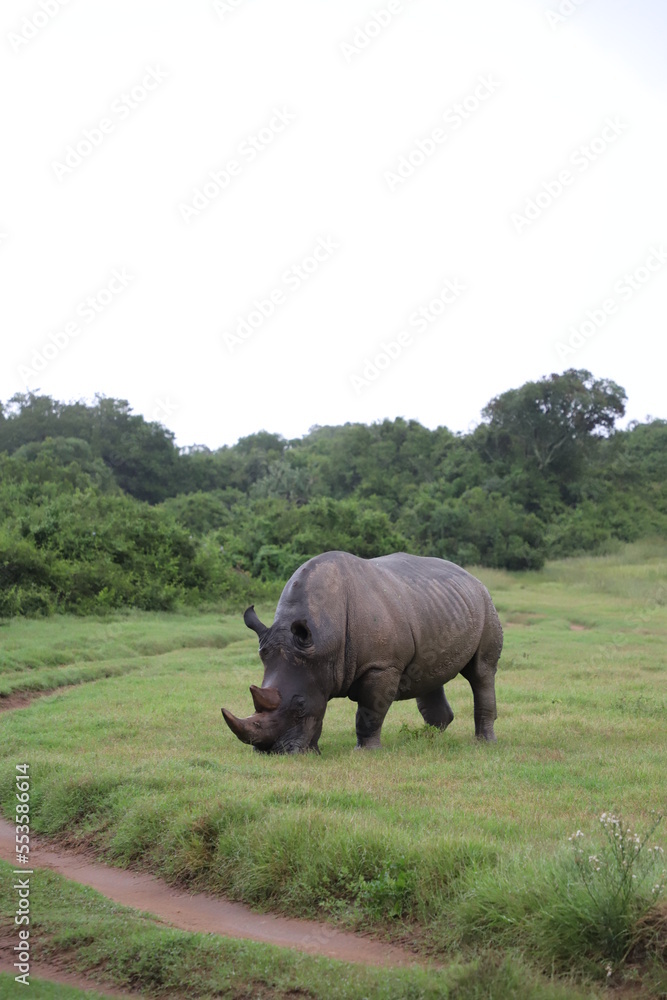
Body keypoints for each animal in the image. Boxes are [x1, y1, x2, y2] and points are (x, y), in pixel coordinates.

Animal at [221, 551, 503, 754]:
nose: (270, 752)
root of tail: (472, 577)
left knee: (481, 673)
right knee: (429, 675)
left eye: (299, 705)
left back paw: (484, 743)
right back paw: (426, 741)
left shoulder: (382, 665)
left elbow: (369, 711)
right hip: (437, 605)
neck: (322, 640)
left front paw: (366, 752)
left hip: (486, 605)